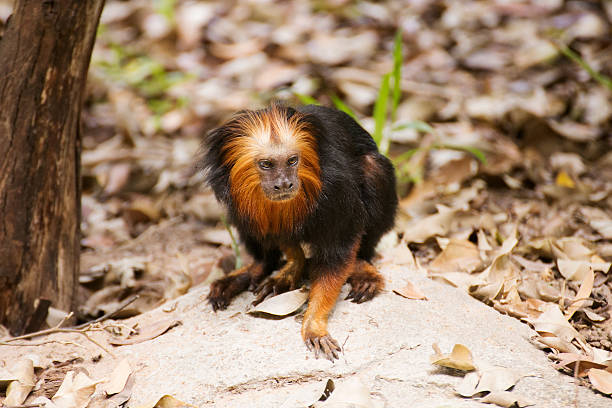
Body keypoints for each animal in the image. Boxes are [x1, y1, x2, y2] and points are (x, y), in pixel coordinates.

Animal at [201, 103, 396, 360]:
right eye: (266, 164)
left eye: (292, 161)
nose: (284, 183)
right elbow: (277, 232)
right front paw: (293, 266)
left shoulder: (336, 191)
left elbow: (339, 252)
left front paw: (313, 324)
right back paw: (256, 269)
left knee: (374, 168)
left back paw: (362, 267)